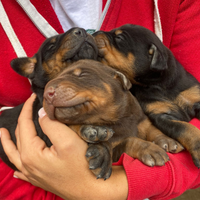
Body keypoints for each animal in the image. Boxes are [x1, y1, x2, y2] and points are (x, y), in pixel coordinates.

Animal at [43, 59, 173, 180]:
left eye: (83, 74)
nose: (46, 93)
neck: (116, 119)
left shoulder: (140, 119)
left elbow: (151, 128)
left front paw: (166, 140)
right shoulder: (116, 154)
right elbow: (128, 141)